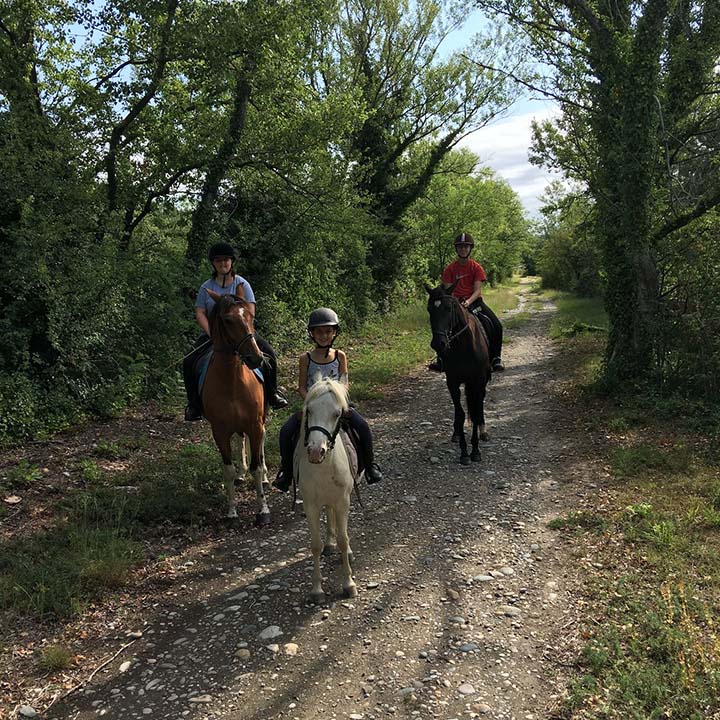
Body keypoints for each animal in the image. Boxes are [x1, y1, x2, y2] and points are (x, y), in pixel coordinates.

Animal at [202, 286, 271, 526]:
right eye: (228, 320)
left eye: (250, 315)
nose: (255, 358)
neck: (232, 381)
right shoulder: (220, 432)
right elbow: (228, 471)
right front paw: (232, 512)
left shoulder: (254, 424)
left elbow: (257, 467)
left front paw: (263, 510)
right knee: (241, 440)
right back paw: (242, 474)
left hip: (260, 420)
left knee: (260, 442)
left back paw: (266, 476)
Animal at [295, 378, 357, 603]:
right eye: (309, 410)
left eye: (337, 413)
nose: (315, 451)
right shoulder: (310, 505)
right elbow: (315, 545)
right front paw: (317, 590)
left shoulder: (343, 501)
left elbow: (343, 540)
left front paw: (348, 584)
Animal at [425, 282, 491, 465]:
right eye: (429, 309)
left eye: (448, 308)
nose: (438, 343)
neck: (464, 345)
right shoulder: (452, 382)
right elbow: (461, 414)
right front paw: (464, 453)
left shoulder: (477, 380)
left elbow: (475, 412)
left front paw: (475, 451)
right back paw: (455, 434)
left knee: (479, 405)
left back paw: (483, 431)